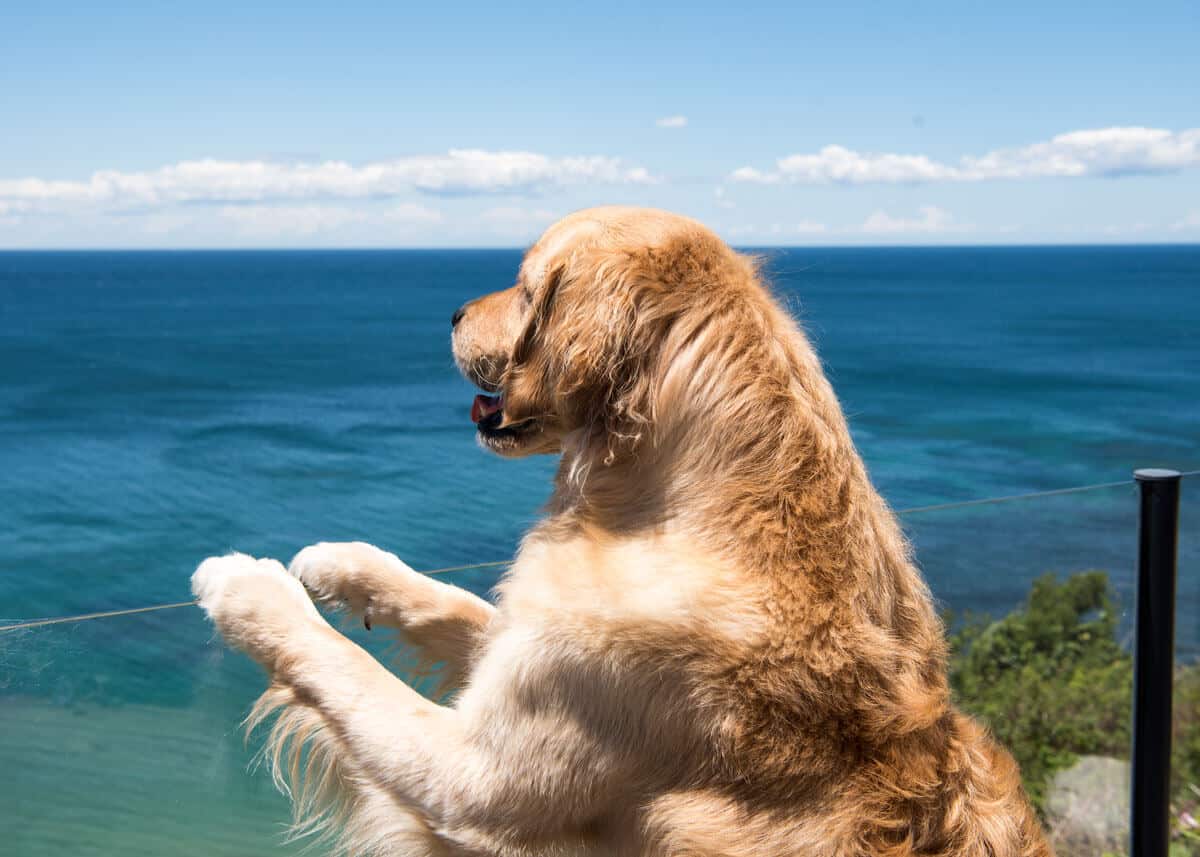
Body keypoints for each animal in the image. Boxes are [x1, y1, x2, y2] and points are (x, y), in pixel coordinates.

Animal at [189, 208, 1051, 854]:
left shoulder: (475, 777)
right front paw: (341, 564)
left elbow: (342, 665)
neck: (663, 505)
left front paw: (247, 586)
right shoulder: (537, 650)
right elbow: (451, 603)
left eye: (527, 287)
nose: (453, 314)